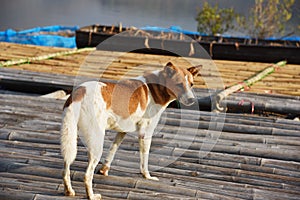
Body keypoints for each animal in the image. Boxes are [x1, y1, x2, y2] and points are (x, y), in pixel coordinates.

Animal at [60, 61, 202, 199]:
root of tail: (79, 92)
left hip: (70, 138)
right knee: (87, 175)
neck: (155, 88)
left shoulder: (122, 131)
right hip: (96, 142)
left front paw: (104, 170)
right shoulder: (145, 133)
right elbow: (144, 161)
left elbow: (112, 150)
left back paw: (69, 191)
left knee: (66, 166)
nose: (192, 100)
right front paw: (147, 176)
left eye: (191, 85)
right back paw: (92, 196)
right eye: (179, 84)